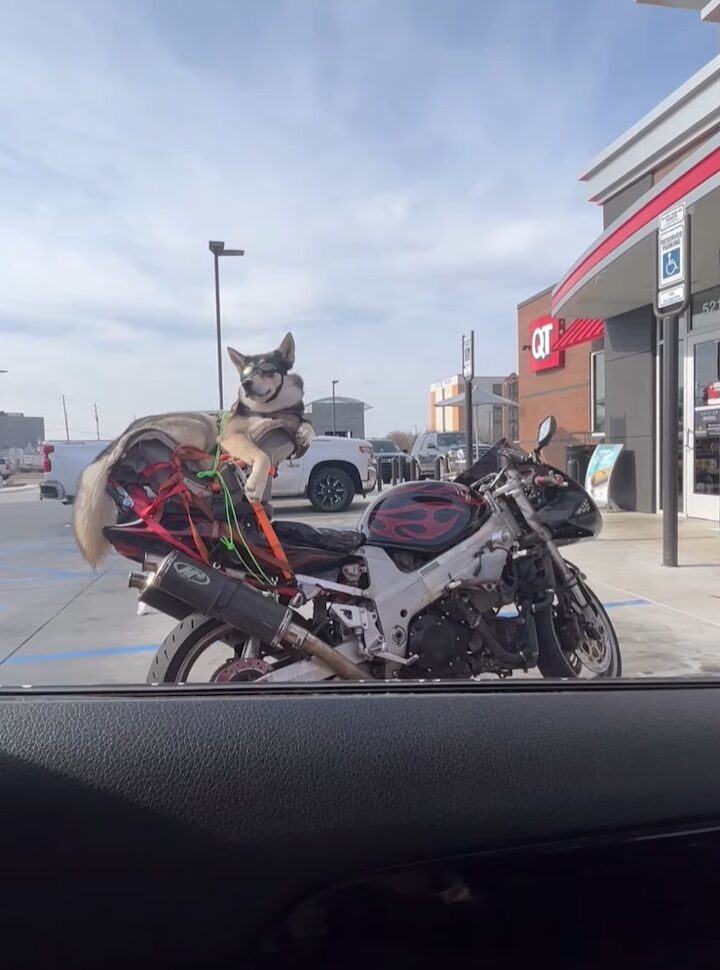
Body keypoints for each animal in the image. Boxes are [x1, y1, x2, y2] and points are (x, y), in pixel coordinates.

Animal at [73, 330, 316, 568]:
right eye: (244, 373)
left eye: (267, 369)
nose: (246, 383)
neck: (272, 411)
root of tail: (126, 433)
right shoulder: (229, 435)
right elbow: (262, 454)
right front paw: (255, 482)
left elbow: (308, 426)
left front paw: (303, 434)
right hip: (203, 425)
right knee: (203, 458)